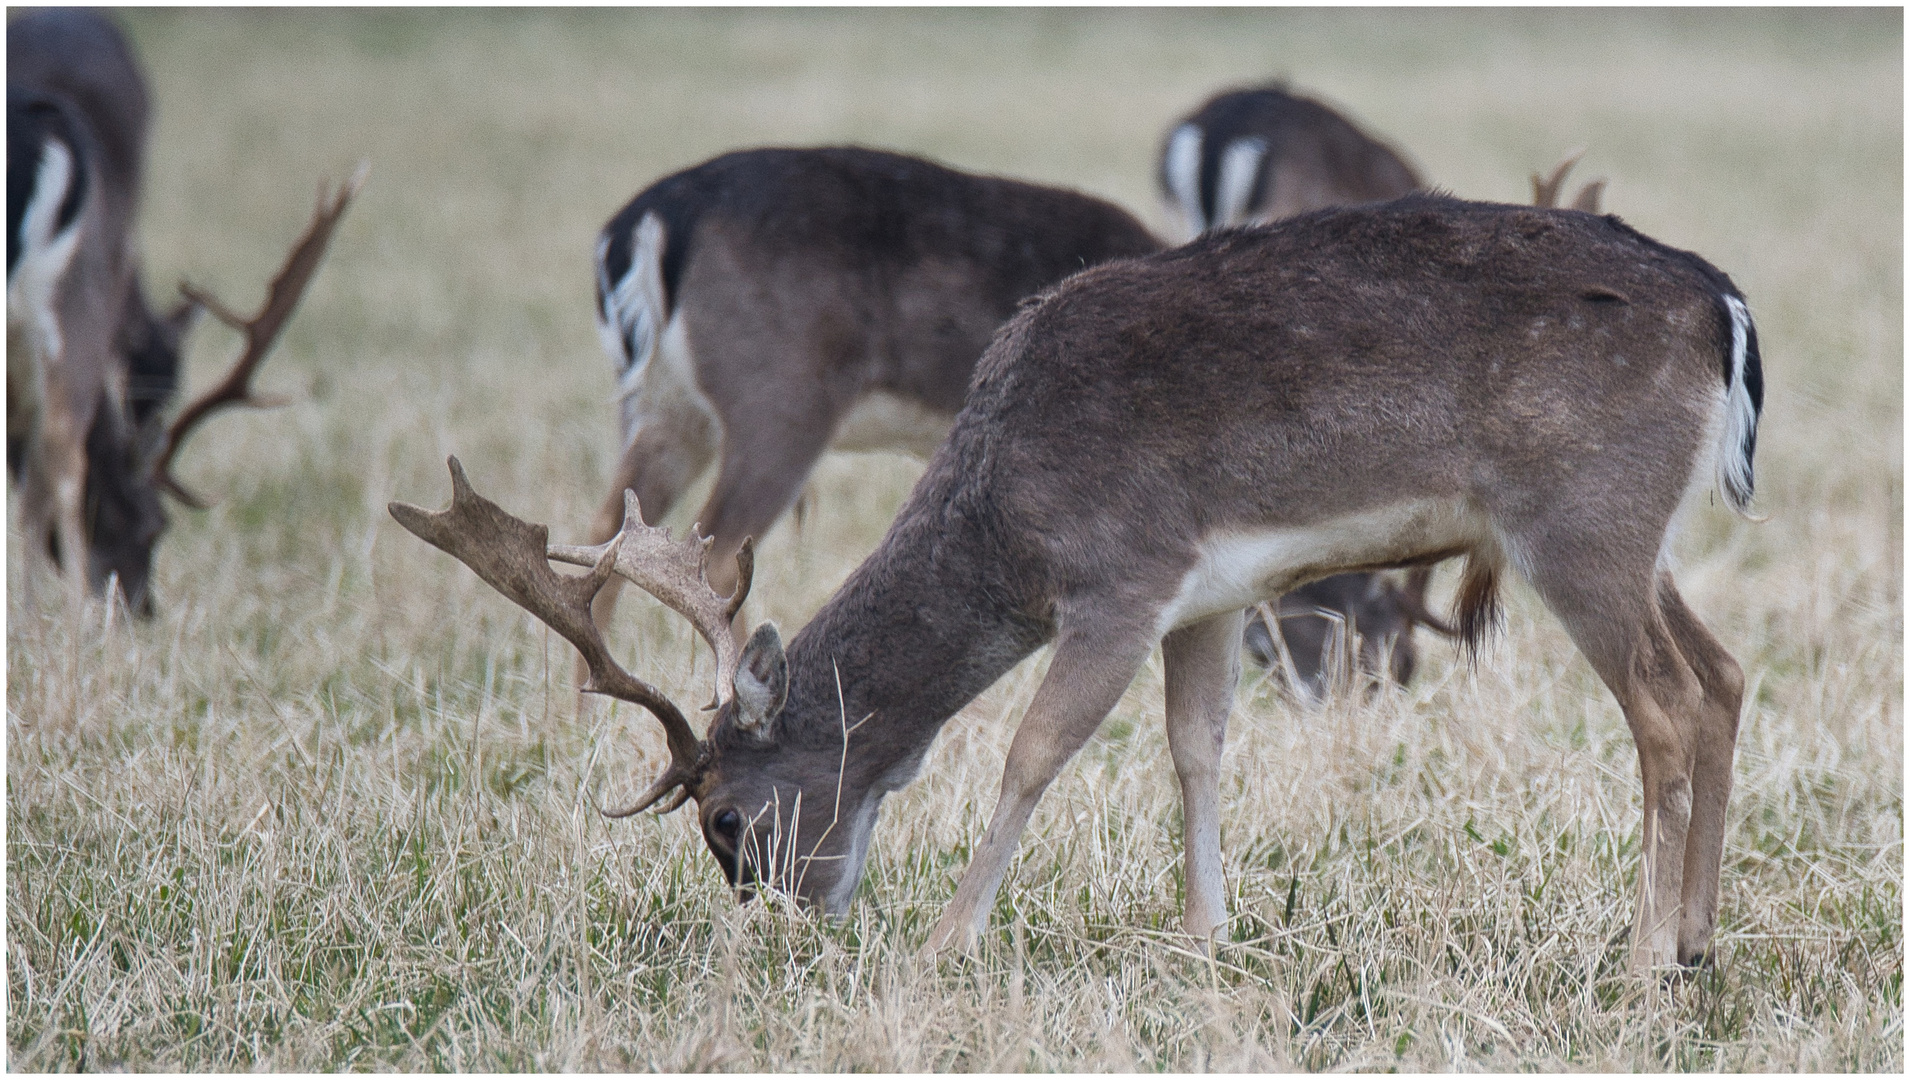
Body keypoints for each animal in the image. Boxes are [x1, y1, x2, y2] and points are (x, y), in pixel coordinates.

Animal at [395, 189, 1764, 971]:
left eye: (726, 818)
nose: (792, 920)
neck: (1004, 513)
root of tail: (1725, 310)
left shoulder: (1118, 575)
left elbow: (1032, 750)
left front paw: (945, 944)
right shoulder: (1210, 592)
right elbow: (1196, 747)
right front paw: (1206, 939)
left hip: (1576, 519)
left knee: (1661, 705)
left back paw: (1640, 960)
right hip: (1640, 534)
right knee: (1722, 673)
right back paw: (1698, 943)